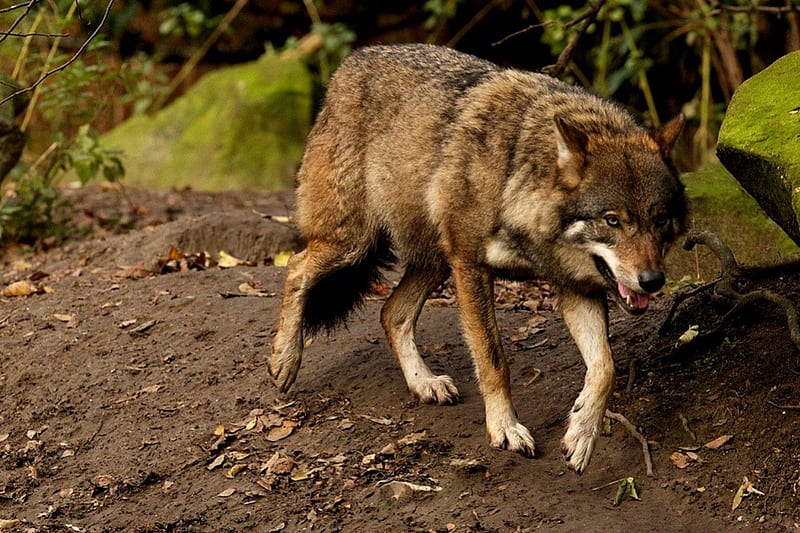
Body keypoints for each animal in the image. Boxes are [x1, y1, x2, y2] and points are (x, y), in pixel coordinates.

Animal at [270, 43, 688, 472]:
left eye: (660, 220)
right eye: (612, 220)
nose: (652, 281)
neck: (515, 177)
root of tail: (349, 64)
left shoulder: (574, 287)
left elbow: (605, 367)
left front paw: (582, 435)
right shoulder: (471, 266)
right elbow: (493, 359)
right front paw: (505, 429)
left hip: (434, 260)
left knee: (391, 313)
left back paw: (424, 383)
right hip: (354, 243)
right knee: (296, 268)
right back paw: (284, 361)